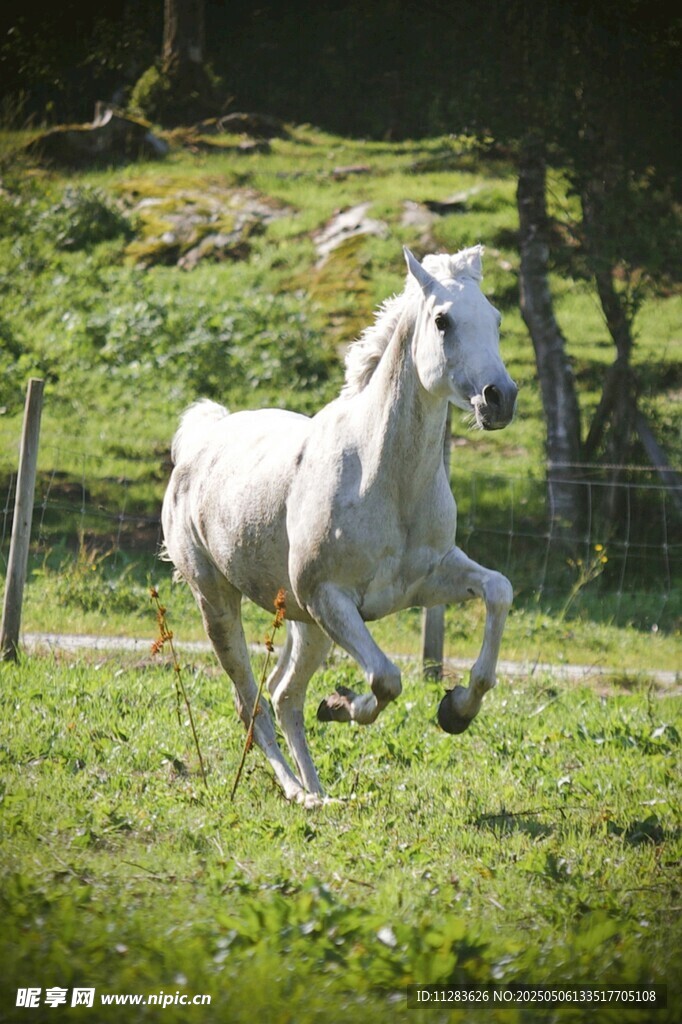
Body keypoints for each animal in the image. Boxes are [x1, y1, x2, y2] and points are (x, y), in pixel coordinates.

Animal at [162, 246, 518, 806]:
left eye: (497, 319)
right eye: (443, 320)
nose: (498, 397)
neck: (385, 478)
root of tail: (201, 438)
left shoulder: (428, 581)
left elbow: (498, 591)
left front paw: (456, 709)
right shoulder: (330, 598)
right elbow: (386, 679)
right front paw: (342, 704)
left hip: (305, 625)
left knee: (284, 695)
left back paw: (320, 793)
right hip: (218, 602)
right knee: (251, 703)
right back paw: (296, 791)